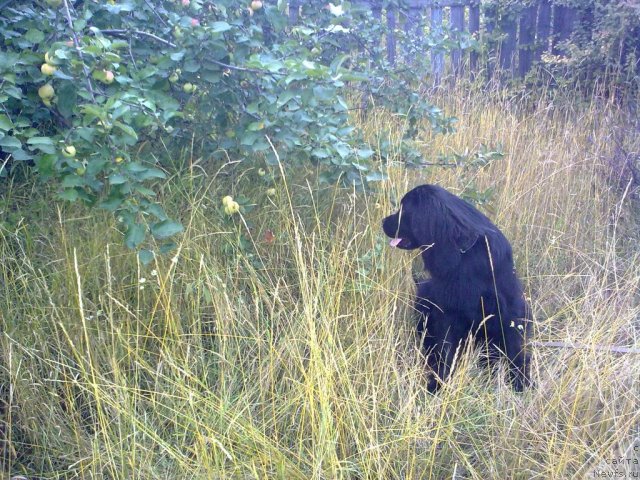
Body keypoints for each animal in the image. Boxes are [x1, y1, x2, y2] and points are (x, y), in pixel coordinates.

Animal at [382, 186, 532, 392]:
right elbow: (446, 352)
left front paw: (520, 382)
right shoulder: (447, 313)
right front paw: (439, 383)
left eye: (403, 210)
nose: (383, 222)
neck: (464, 251)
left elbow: (514, 348)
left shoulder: (508, 310)